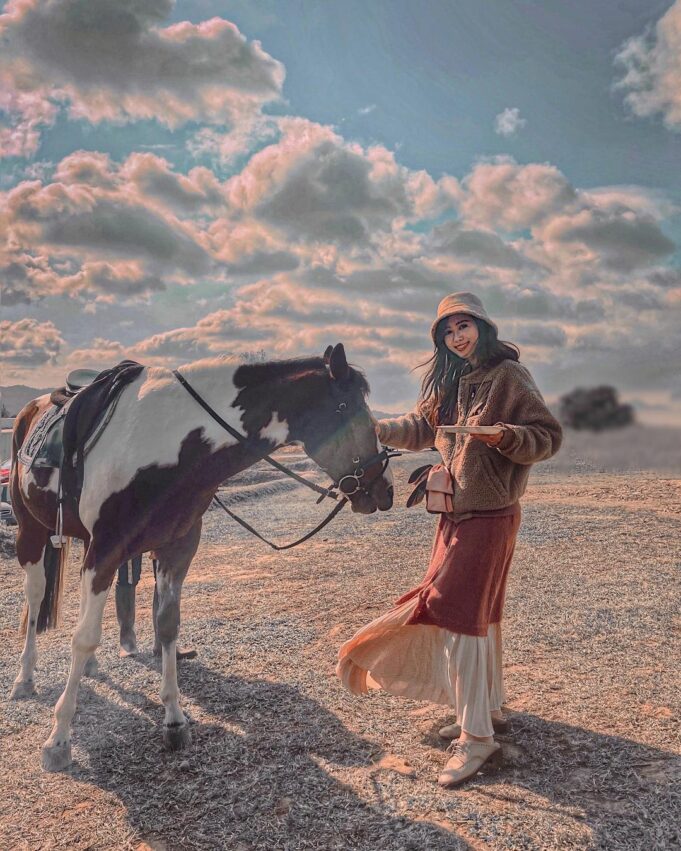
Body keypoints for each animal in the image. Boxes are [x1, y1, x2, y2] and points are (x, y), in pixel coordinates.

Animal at [9, 344, 394, 772]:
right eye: (348, 408)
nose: (385, 490)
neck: (166, 442)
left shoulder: (177, 548)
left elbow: (166, 626)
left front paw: (174, 718)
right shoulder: (106, 549)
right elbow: (84, 637)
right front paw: (59, 736)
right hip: (32, 531)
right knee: (35, 596)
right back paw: (25, 677)